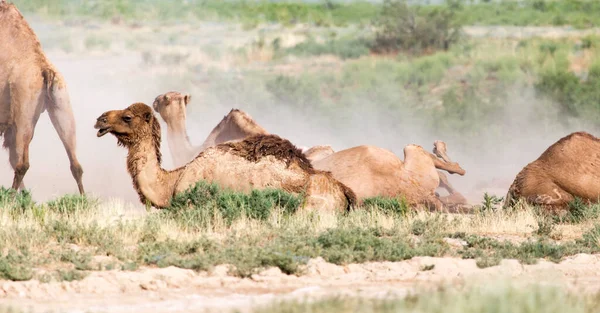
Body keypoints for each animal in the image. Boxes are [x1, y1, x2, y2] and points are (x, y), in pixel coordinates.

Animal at [0, 1, 84, 193]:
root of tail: (44, 70)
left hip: (24, 113)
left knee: (21, 163)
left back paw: (11, 197)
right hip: (61, 105)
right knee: (75, 163)